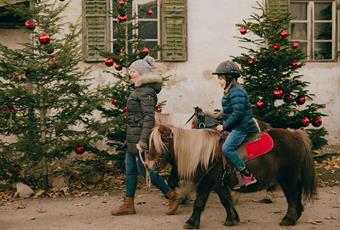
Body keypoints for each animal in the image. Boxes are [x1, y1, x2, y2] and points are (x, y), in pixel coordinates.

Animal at [145, 125, 316, 229]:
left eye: (160, 144)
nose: (148, 165)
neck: (204, 154)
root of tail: (295, 134)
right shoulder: (217, 183)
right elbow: (226, 200)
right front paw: (232, 219)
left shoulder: (206, 182)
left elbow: (199, 202)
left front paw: (191, 222)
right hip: (293, 177)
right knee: (297, 194)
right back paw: (297, 215)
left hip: (287, 178)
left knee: (292, 196)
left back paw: (289, 219)